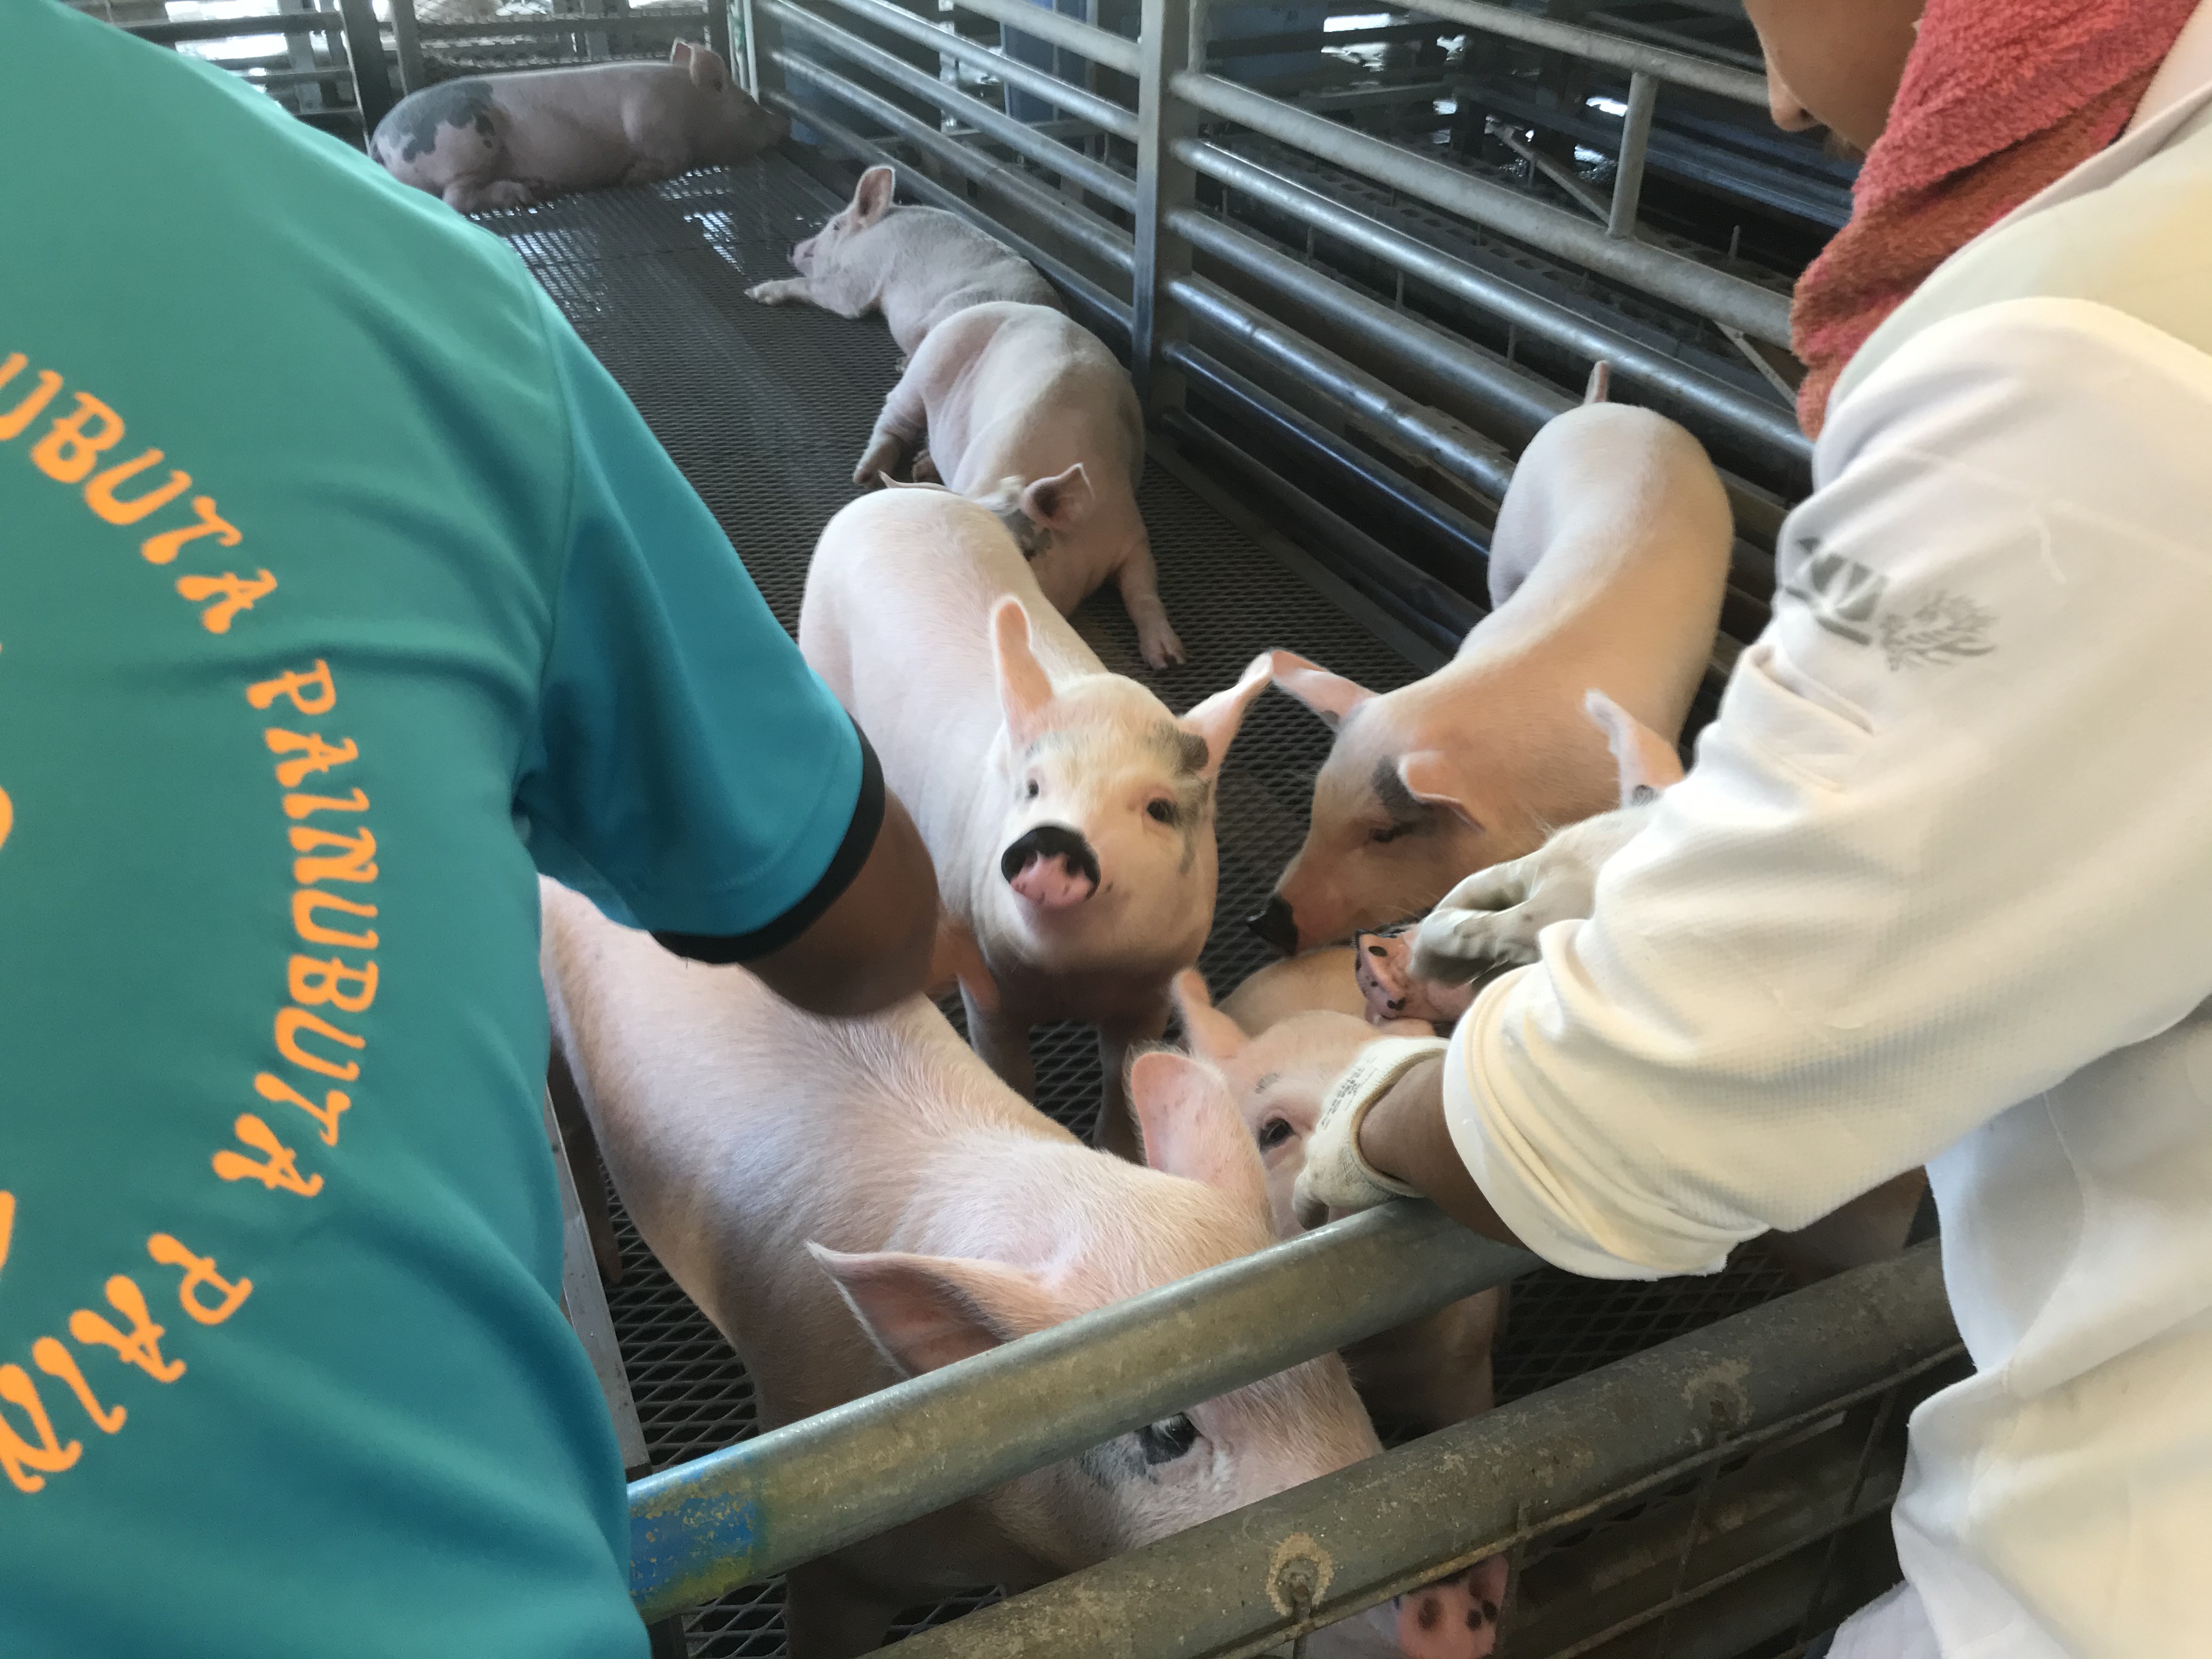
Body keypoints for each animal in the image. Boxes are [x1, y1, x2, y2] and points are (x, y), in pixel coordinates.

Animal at [369, 43, 787, 215]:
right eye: (747, 104)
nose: (782, 122)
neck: (690, 106)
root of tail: (379, 137)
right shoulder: (650, 121)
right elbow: (673, 159)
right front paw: (632, 176)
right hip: (465, 145)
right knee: (454, 199)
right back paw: (522, 194)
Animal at [799, 486, 1270, 1158]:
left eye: (1157, 808)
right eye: (1032, 788)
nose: (1054, 836)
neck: (1075, 979)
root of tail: (899, 492)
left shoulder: (1153, 989)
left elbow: (1123, 1078)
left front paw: (1118, 1149)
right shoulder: (986, 985)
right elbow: (1011, 1072)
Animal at [852, 301, 1183, 668]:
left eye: (1027, 554)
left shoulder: (1130, 530)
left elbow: (1142, 590)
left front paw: (1169, 660)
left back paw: (916, 469)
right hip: (923, 373)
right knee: (893, 421)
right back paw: (867, 477)